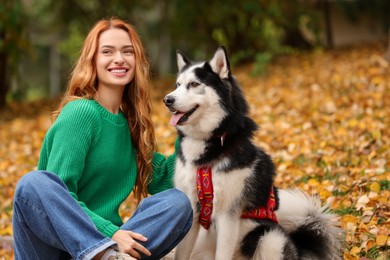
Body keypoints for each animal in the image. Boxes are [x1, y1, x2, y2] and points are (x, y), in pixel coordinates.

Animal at [163, 47, 340, 260]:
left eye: (194, 84)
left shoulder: (227, 216)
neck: (208, 145)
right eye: (178, 85)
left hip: (271, 239)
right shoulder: (192, 210)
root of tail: (298, 247)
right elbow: (182, 252)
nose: (167, 100)